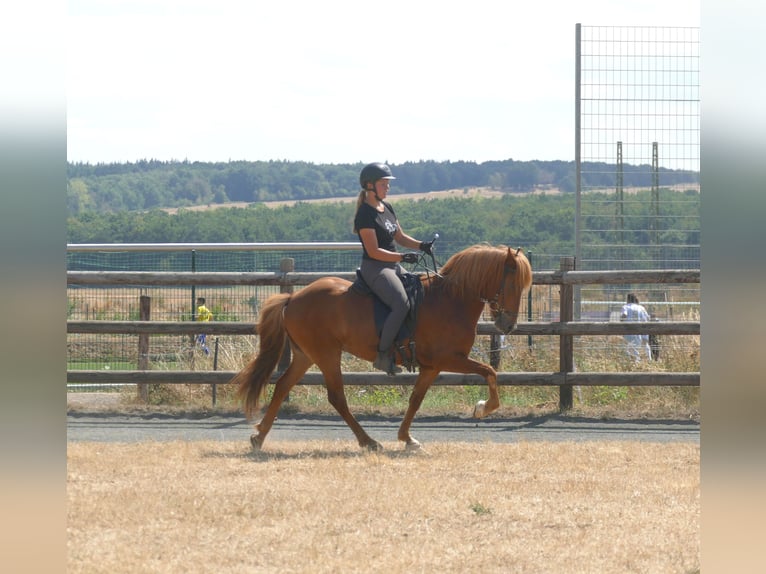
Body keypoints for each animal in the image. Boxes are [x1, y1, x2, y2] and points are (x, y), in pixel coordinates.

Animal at [231, 243, 532, 451]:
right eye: (512, 284)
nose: (508, 325)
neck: (449, 300)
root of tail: (292, 298)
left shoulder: (431, 367)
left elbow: (416, 399)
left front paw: (407, 438)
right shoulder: (448, 359)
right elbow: (489, 372)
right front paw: (483, 408)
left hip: (306, 355)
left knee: (283, 386)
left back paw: (259, 437)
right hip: (327, 354)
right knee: (336, 397)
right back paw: (368, 441)